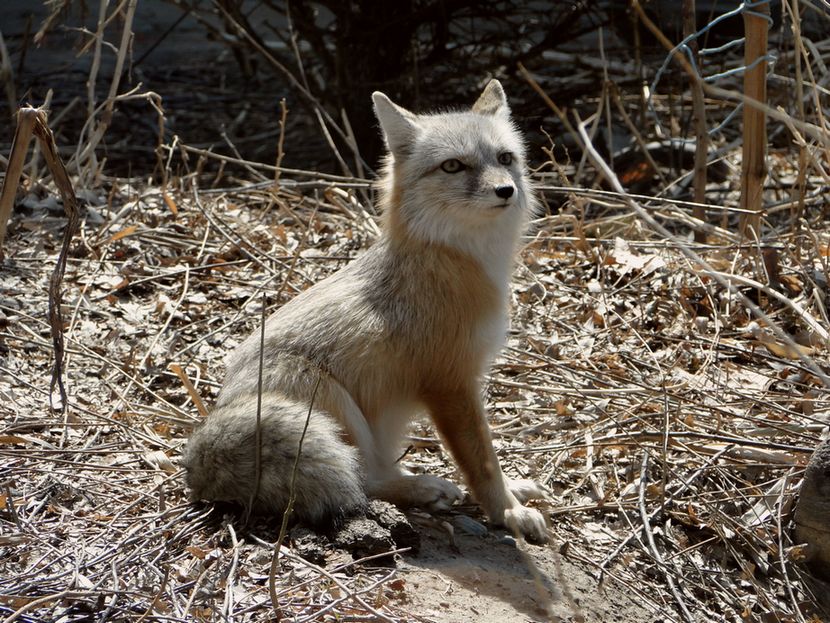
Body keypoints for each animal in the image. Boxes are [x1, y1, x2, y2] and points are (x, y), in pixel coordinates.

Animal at [185, 80, 556, 544]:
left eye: (505, 158)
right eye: (453, 166)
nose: (506, 190)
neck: (462, 261)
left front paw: (513, 491)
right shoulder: (450, 382)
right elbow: (481, 460)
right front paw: (507, 511)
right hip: (331, 401)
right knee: (364, 480)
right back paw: (421, 488)